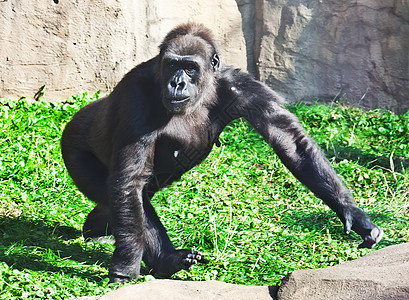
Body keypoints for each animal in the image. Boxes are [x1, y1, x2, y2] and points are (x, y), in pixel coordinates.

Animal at [61, 23, 382, 284]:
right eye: (173, 64)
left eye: (190, 67)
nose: (177, 82)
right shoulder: (135, 93)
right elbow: (131, 181)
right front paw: (125, 268)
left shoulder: (243, 86)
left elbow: (290, 141)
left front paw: (353, 213)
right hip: (74, 149)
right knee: (126, 194)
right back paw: (161, 258)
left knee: (127, 201)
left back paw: (103, 232)